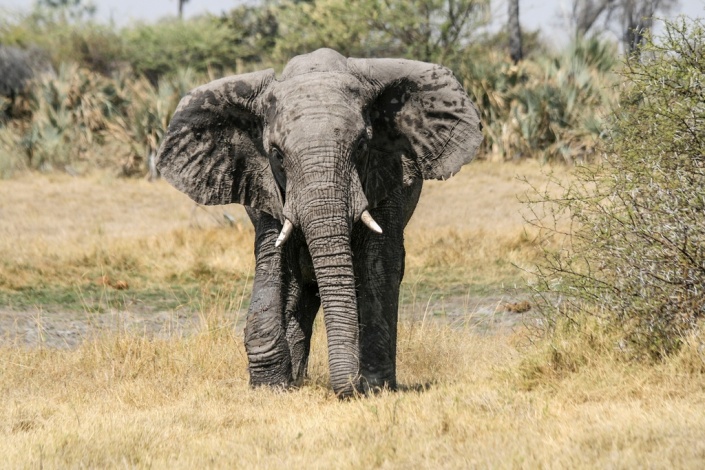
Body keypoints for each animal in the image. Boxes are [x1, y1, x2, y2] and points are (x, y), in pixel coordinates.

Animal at [156, 48, 483, 397]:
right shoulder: (265, 185)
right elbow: (272, 261)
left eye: (362, 146)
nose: (350, 386)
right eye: (277, 154)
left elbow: (377, 263)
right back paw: (295, 379)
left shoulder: (387, 176)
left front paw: (375, 388)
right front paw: (270, 388)